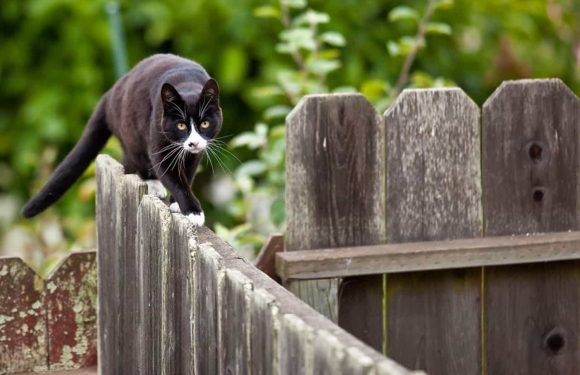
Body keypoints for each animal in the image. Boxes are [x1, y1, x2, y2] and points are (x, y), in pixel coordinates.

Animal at [22, 53, 222, 226]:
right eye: (181, 126)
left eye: (204, 123)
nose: (193, 142)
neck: (187, 83)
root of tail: (109, 94)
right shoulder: (158, 139)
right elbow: (172, 176)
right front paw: (193, 211)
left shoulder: (195, 154)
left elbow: (187, 174)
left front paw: (176, 204)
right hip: (131, 135)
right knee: (132, 161)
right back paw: (152, 183)